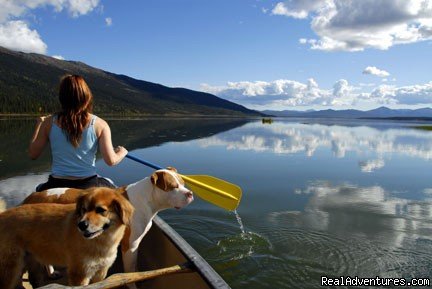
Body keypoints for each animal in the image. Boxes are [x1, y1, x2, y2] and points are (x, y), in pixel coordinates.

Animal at [0, 186, 134, 286]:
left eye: (101, 210)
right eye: (84, 209)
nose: (81, 225)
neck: (100, 241)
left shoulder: (101, 272)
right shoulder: (79, 274)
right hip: (10, 269)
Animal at [22, 166, 194, 288]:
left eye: (183, 184)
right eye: (173, 186)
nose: (190, 193)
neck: (147, 199)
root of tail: (31, 196)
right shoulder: (130, 245)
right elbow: (130, 270)